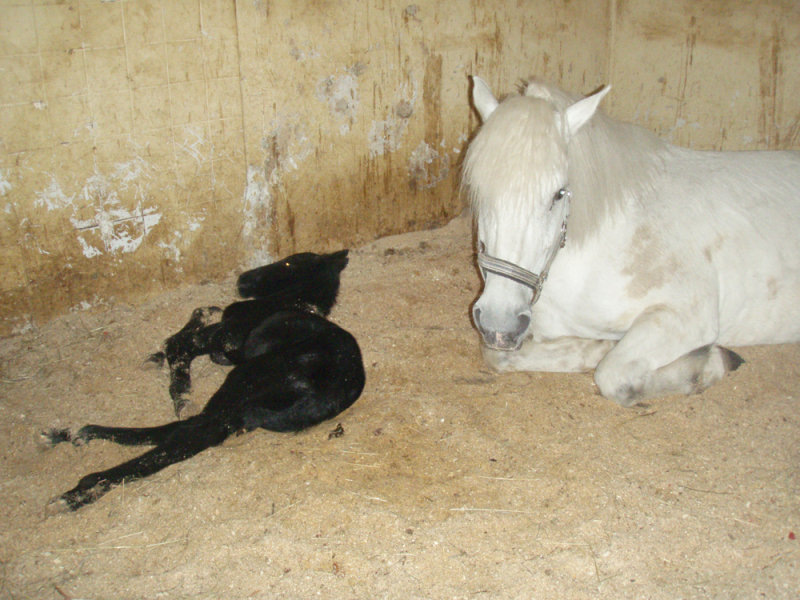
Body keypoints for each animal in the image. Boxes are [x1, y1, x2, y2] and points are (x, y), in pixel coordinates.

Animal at [45, 251, 364, 508]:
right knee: (186, 429)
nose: (243, 279)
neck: (295, 302)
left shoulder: (225, 339)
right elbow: (180, 339)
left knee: (192, 432)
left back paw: (82, 485)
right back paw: (77, 436)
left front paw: (180, 390)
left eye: (288, 262)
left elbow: (178, 344)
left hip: (243, 381)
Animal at [462, 74, 800, 404]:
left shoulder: (686, 317)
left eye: (558, 193)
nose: (500, 323)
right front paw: (596, 347)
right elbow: (498, 356)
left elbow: (613, 376)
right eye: (479, 189)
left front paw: (709, 366)